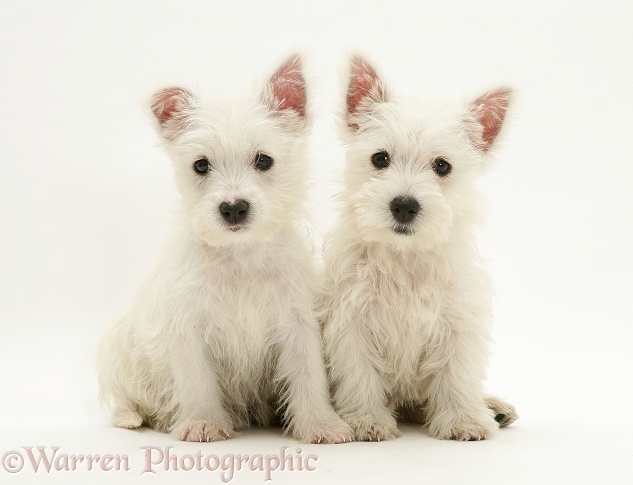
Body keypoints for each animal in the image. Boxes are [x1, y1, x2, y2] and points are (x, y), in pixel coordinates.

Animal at [99, 54, 356, 442]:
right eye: (201, 165)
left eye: (264, 160)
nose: (234, 208)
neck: (241, 256)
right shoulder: (188, 328)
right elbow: (197, 381)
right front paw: (203, 422)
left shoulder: (297, 323)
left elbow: (309, 376)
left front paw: (321, 424)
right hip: (118, 347)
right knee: (126, 398)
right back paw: (137, 417)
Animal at [324, 56, 516, 442]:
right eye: (380, 159)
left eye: (442, 166)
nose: (404, 205)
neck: (405, 256)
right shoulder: (352, 322)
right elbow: (360, 375)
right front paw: (367, 420)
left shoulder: (457, 323)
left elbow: (456, 375)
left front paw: (463, 420)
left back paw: (492, 407)